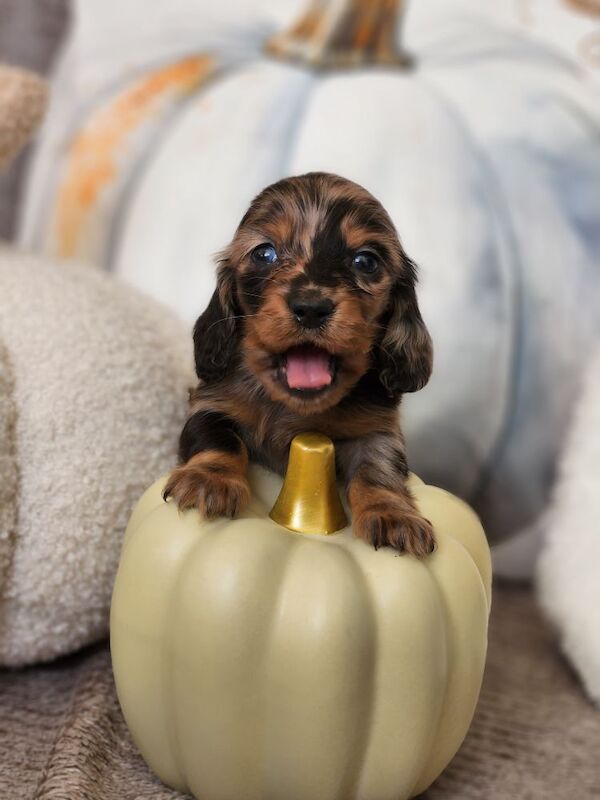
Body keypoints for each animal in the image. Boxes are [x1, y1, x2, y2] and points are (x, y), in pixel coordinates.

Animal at [165, 171, 436, 552]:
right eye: (264, 253)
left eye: (366, 261)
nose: (310, 308)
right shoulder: (211, 404)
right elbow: (217, 438)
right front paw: (209, 480)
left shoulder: (377, 430)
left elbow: (378, 469)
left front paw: (393, 514)